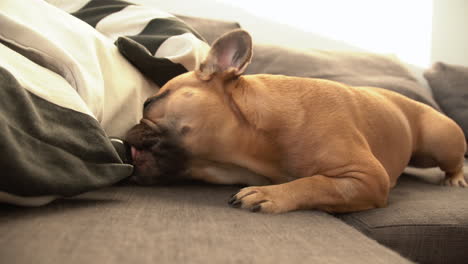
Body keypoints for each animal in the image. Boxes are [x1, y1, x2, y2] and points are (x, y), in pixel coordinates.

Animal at [124, 29, 464, 214]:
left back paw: (457, 178)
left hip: (439, 143)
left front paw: (271, 195)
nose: (127, 131)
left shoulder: (368, 177)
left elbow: (318, 183)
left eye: (149, 103)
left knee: (453, 161)